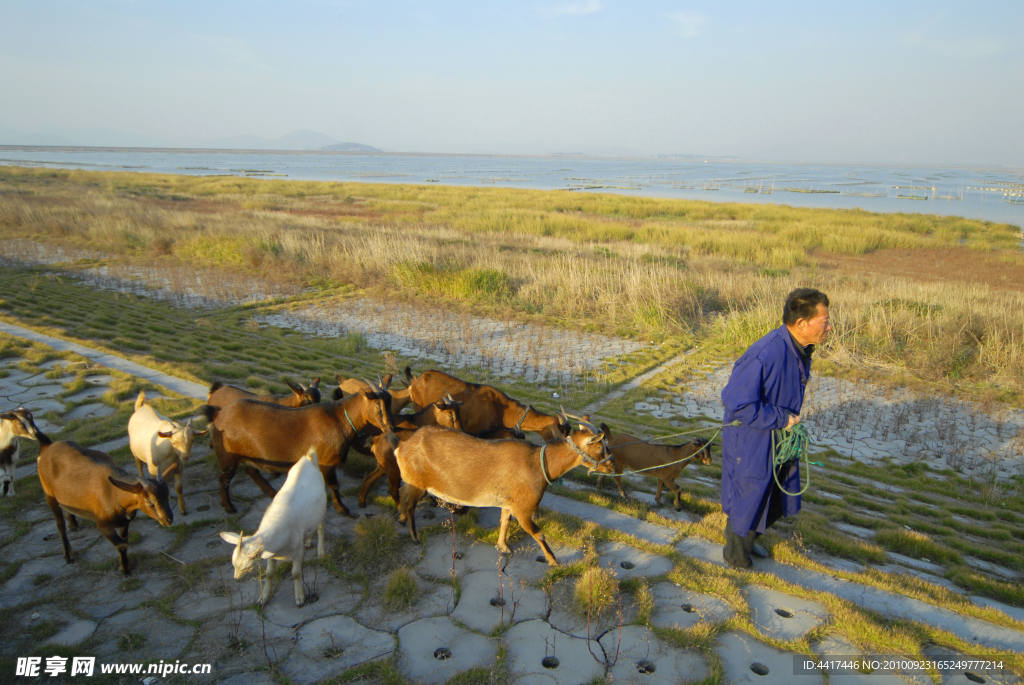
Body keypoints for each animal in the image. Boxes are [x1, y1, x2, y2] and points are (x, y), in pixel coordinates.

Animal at [9, 405, 177, 573]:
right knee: (59, 523)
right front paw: (125, 569)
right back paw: (68, 554)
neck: (115, 494)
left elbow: (125, 541)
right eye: (149, 502)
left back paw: (73, 523)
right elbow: (122, 545)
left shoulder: (124, 522)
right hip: (48, 493)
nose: (169, 520)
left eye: (167, 496)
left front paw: (124, 564)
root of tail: (47, 447)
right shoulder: (102, 524)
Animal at [201, 378, 393, 511]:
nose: (390, 426)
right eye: (378, 405)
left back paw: (272, 493)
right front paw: (342, 509)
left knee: (251, 470)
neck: (340, 419)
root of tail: (217, 415)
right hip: (228, 457)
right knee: (224, 479)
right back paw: (229, 507)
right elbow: (334, 485)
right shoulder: (327, 463)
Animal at [218, 446, 325, 606]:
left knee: (320, 528)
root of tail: (308, 459)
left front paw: (300, 598)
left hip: (322, 509)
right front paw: (264, 597)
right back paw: (308, 541)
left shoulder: (297, 551)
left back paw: (321, 551)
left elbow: (296, 573)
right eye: (233, 564)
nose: (236, 579)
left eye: (247, 566)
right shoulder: (271, 554)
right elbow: (269, 574)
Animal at [391, 413, 610, 565]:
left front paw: (503, 546)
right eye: (600, 447)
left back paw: (400, 519)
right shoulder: (523, 508)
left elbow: (504, 522)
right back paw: (414, 536)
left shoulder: (508, 502)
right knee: (410, 505)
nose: (611, 465)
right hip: (418, 483)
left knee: (402, 494)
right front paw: (554, 561)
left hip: (410, 480)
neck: (540, 464)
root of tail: (402, 446)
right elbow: (538, 533)